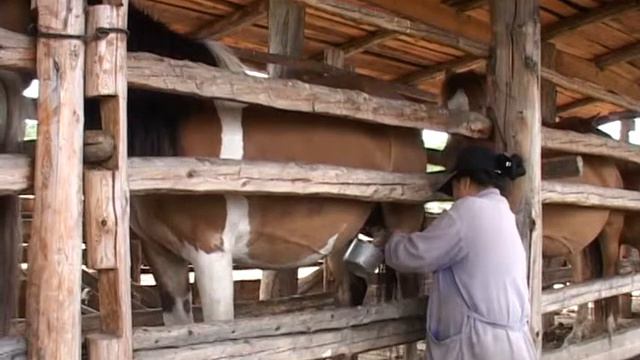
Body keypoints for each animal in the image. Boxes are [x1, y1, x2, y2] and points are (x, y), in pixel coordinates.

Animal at [438, 71, 624, 344]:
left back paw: (609, 324)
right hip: (580, 238)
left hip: (610, 228)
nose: (451, 159)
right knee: (585, 276)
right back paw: (578, 331)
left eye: (480, 108)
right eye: (445, 107)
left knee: (610, 271)